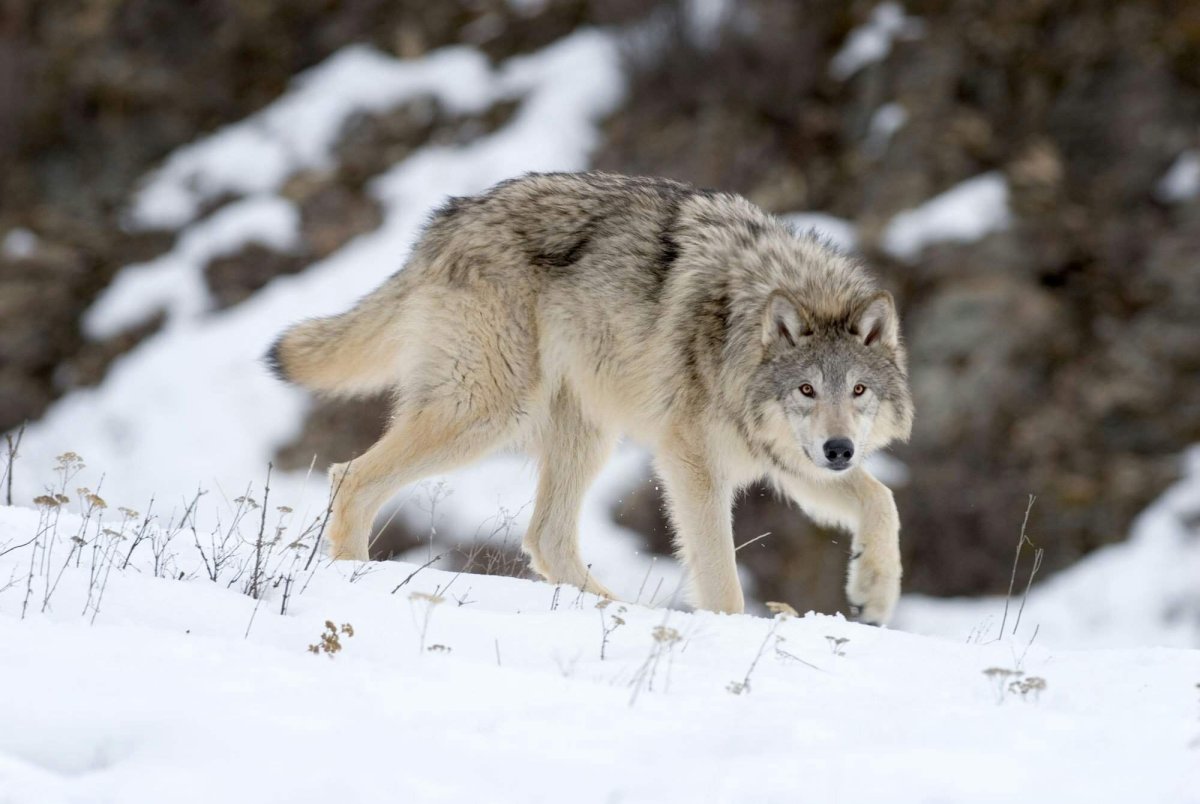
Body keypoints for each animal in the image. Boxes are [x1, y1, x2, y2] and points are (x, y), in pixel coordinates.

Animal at [268, 172, 914, 624]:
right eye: (807, 389)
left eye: (858, 390)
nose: (839, 450)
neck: (737, 324)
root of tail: (449, 218)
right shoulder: (693, 463)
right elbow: (721, 575)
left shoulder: (782, 459)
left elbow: (882, 500)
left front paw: (875, 595)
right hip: (487, 412)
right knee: (351, 477)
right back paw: (357, 583)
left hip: (584, 435)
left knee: (546, 539)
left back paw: (618, 609)